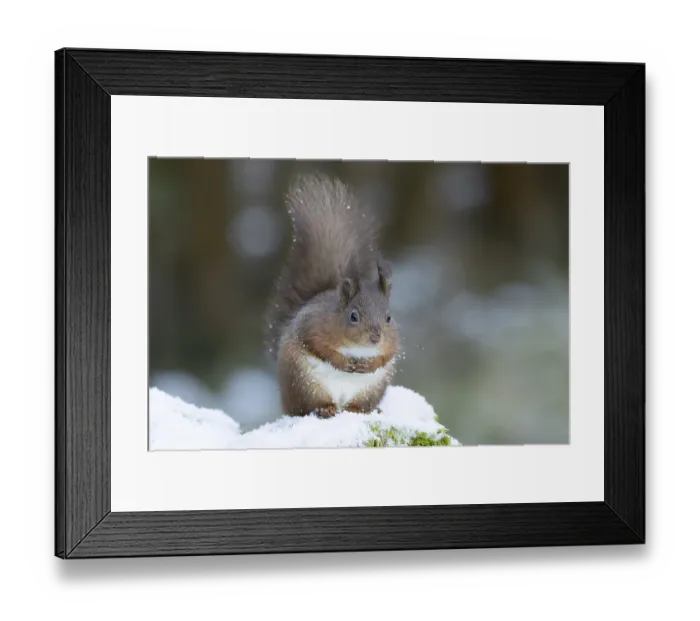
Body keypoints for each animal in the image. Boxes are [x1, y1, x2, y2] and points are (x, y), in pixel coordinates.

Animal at [266, 173, 400, 419]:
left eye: (388, 318)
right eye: (353, 316)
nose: (376, 337)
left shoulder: (393, 341)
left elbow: (387, 354)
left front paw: (369, 364)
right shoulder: (312, 325)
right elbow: (318, 346)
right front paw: (343, 362)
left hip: (370, 390)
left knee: (357, 405)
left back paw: (360, 410)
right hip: (305, 385)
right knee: (306, 407)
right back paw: (324, 408)